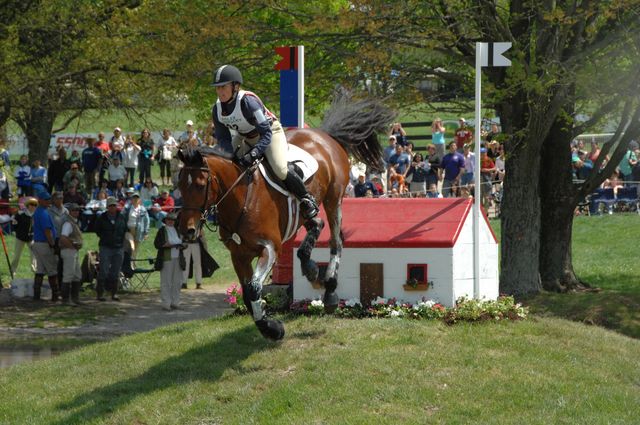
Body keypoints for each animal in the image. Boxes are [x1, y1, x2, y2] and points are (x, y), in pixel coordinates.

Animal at [178, 95, 392, 338]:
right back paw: (309, 267)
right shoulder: (239, 255)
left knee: (336, 240)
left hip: (334, 198)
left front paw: (272, 328)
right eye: (179, 184)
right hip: (306, 211)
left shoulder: (270, 248)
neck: (241, 198)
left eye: (200, 185)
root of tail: (324, 134)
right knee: (316, 223)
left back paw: (329, 291)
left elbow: (254, 288)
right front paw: (268, 325)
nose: (187, 230)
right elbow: (248, 293)